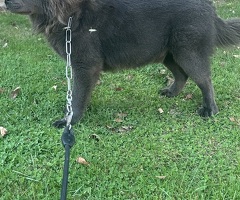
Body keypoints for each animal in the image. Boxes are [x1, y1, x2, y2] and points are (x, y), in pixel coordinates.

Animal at [4, 0, 240, 127]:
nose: (4, 2)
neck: (68, 14)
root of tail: (210, 7)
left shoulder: (84, 66)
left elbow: (77, 96)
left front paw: (70, 121)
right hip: (168, 55)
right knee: (182, 75)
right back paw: (171, 93)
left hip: (187, 53)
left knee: (205, 80)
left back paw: (209, 110)